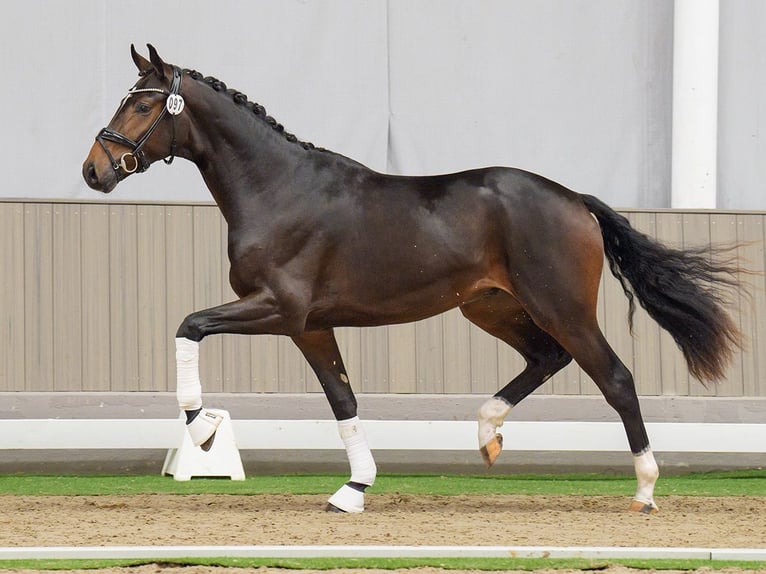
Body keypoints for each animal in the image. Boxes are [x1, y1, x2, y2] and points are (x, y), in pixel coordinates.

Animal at [82, 44, 744, 512]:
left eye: (142, 104)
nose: (94, 170)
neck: (277, 188)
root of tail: (575, 200)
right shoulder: (309, 325)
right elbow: (342, 399)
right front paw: (353, 490)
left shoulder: (278, 309)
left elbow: (189, 325)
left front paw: (202, 429)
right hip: (491, 306)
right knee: (546, 358)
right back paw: (487, 433)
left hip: (562, 308)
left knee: (616, 378)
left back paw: (645, 490)